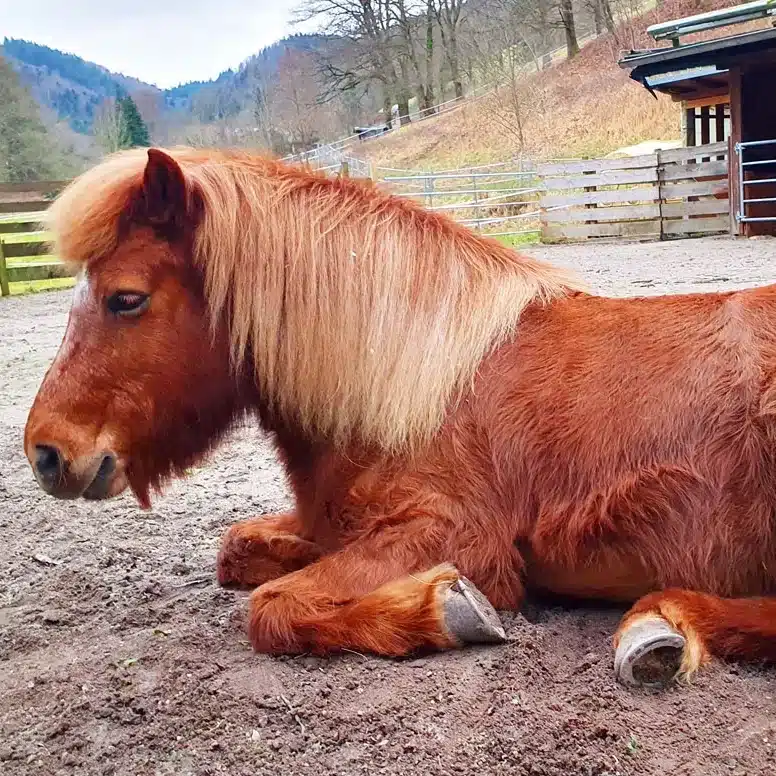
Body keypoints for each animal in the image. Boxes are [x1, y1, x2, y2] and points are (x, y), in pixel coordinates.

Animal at [24, 146, 776, 689]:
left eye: (126, 299)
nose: (46, 452)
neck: (410, 387)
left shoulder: (451, 534)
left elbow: (273, 608)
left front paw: (449, 611)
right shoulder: (334, 524)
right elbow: (236, 551)